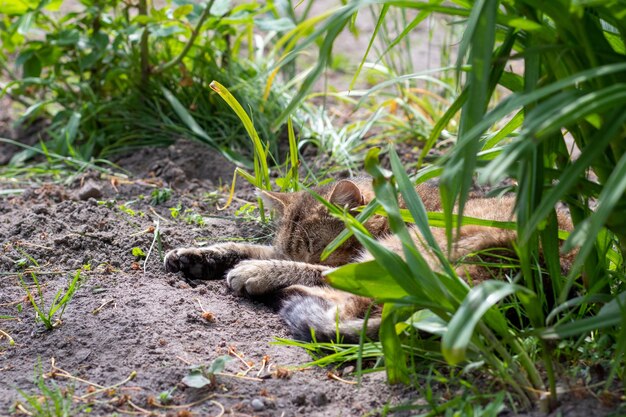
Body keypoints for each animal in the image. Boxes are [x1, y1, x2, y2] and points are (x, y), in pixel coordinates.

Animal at [162, 176, 572, 342]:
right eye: (297, 244)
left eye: (317, 247)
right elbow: (240, 245)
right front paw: (194, 255)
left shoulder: (350, 265)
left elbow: (307, 269)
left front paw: (257, 270)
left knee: (343, 307)